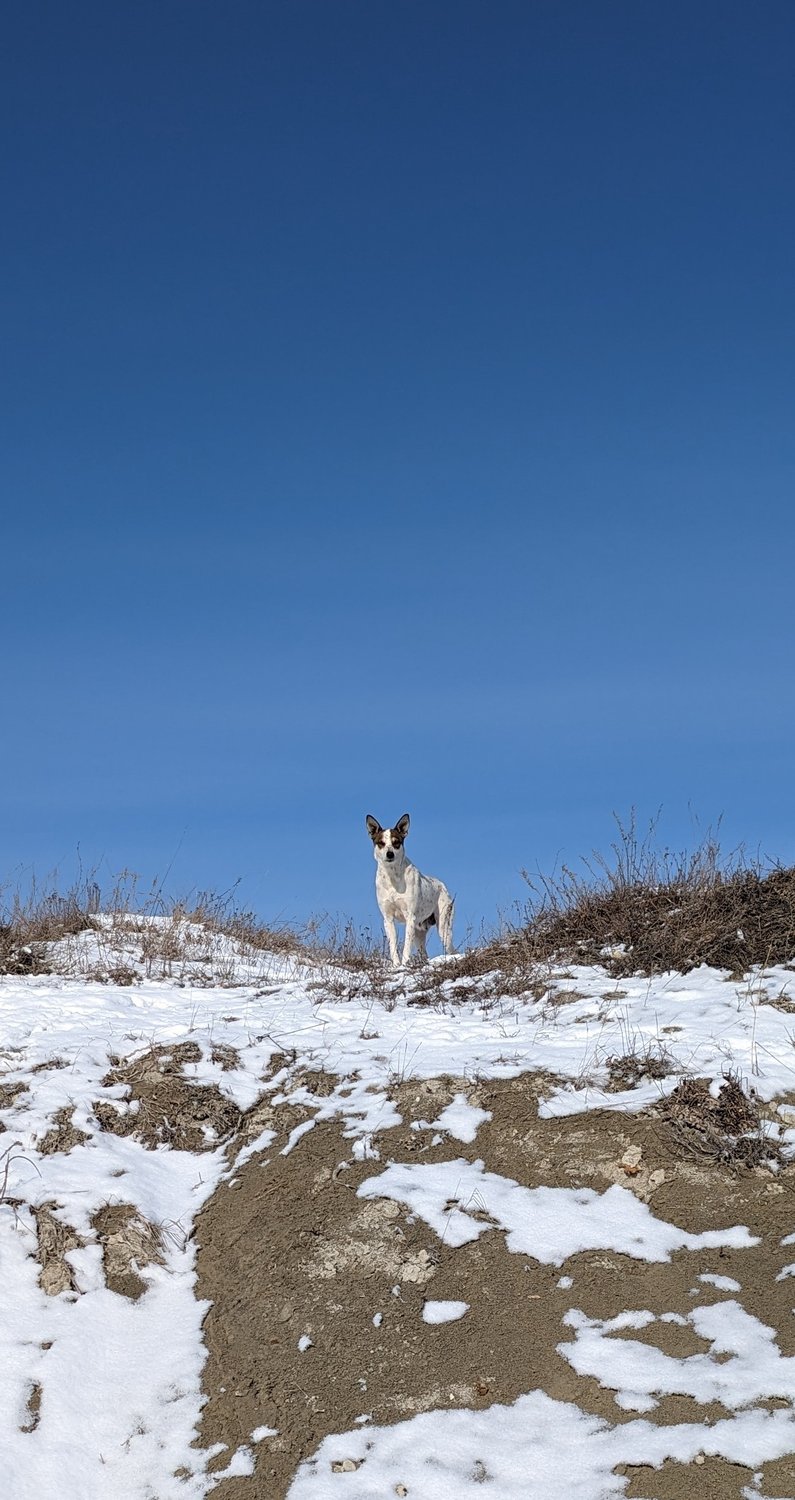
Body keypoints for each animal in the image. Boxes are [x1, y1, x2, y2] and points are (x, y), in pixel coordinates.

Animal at [363, 816, 453, 966]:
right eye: (381, 843)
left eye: (396, 843)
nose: (389, 854)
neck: (393, 877)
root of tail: (443, 886)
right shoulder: (388, 919)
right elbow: (393, 945)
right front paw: (396, 965)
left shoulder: (410, 917)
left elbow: (406, 947)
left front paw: (404, 964)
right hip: (419, 932)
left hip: (444, 927)